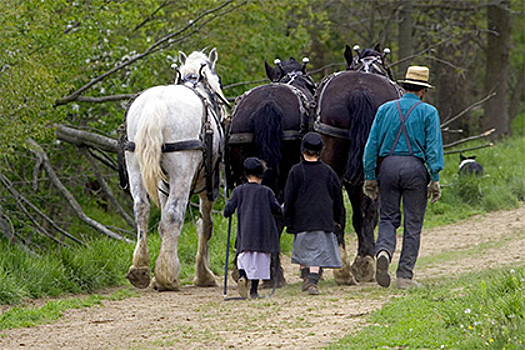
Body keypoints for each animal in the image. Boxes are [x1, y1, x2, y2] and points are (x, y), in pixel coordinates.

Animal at [126, 48, 228, 290]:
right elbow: (205, 225)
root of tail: (157, 104)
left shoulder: (163, 184)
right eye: (217, 79)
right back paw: (168, 276)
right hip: (182, 173)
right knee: (174, 214)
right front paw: (203, 274)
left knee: (141, 208)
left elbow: (163, 225)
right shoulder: (207, 184)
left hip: (134, 165)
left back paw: (141, 268)